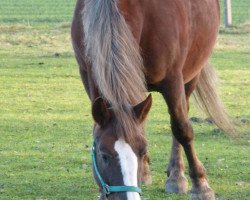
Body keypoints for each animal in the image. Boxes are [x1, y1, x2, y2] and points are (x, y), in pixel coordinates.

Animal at [71, 0, 233, 200]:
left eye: (142, 151)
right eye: (103, 155)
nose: (129, 197)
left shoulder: (173, 79)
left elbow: (182, 129)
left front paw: (200, 185)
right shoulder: (88, 73)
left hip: (191, 75)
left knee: (181, 118)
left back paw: (176, 175)